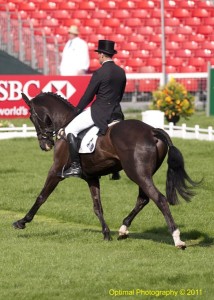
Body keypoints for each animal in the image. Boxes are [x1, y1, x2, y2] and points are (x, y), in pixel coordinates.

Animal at [12, 91, 199, 248]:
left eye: (31, 116)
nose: (45, 145)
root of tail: (153, 131)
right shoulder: (92, 177)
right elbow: (97, 206)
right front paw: (106, 233)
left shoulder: (56, 170)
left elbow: (42, 196)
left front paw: (22, 222)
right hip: (143, 174)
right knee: (143, 199)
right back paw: (123, 229)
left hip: (137, 173)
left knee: (159, 199)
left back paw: (177, 239)